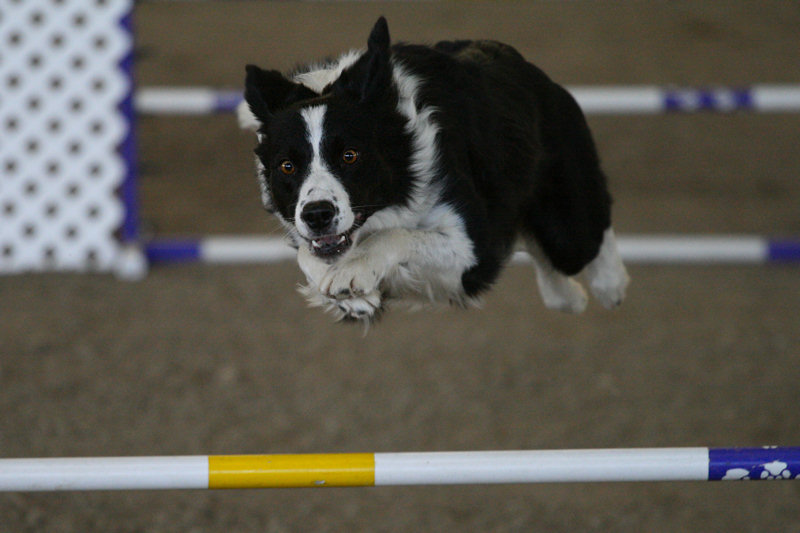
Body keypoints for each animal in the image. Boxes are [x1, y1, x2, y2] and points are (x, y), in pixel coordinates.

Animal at [241, 17, 628, 320]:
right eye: (287, 166)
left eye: (350, 155)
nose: (317, 215)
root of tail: (534, 73)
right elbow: (307, 253)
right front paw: (356, 297)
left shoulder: (473, 249)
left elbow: (397, 235)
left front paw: (350, 274)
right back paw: (571, 295)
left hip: (566, 218)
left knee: (586, 237)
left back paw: (612, 286)